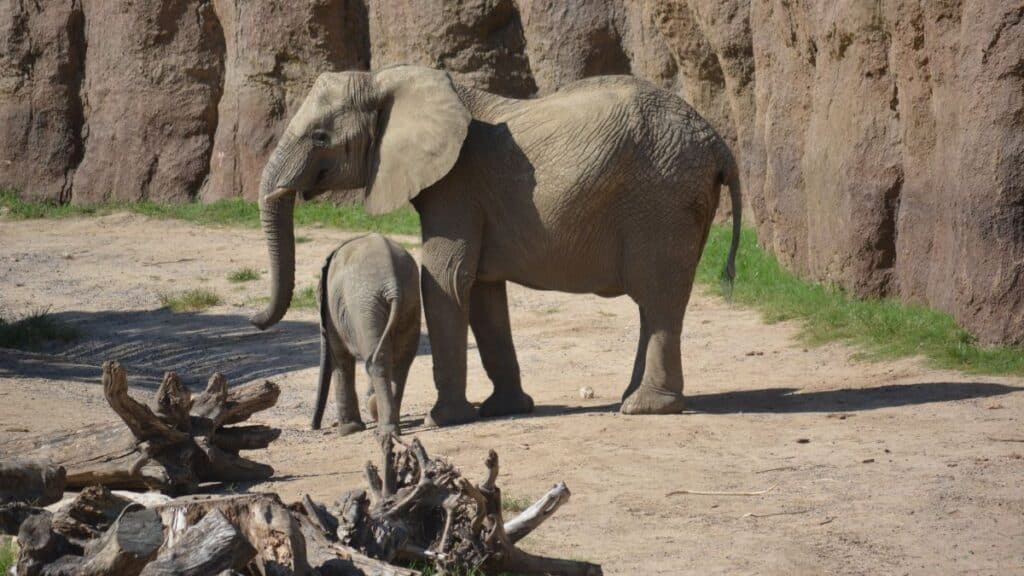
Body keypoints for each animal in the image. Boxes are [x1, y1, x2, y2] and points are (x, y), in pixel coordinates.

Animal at [310, 233, 421, 437]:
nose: (314, 426)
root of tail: (393, 287)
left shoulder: (332, 314)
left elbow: (340, 356)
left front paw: (348, 430)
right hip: (410, 299)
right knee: (403, 359)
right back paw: (387, 419)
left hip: (365, 306)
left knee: (378, 360)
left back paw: (384, 428)